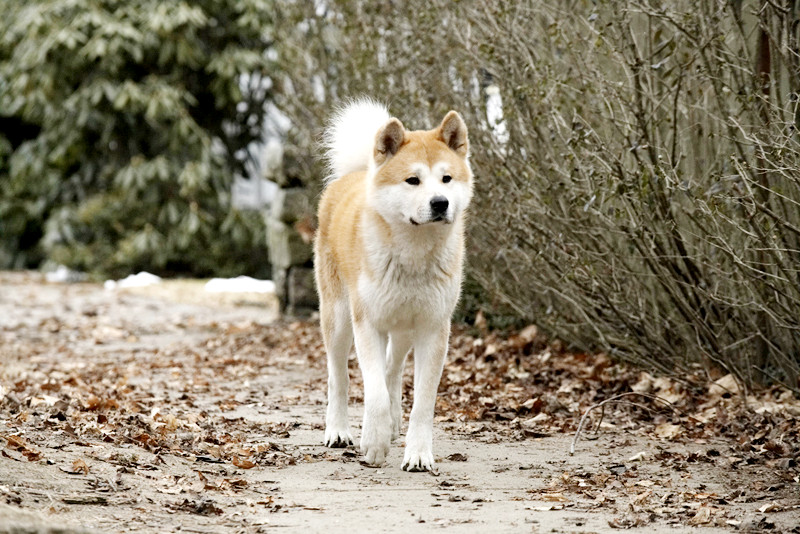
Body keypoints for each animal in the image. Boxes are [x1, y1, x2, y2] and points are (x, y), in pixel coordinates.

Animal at [314, 98, 476, 472]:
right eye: (412, 180)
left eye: (446, 178)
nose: (440, 203)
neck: (414, 254)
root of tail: (356, 174)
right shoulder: (367, 323)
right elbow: (373, 393)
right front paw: (373, 443)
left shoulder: (433, 329)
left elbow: (422, 403)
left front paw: (417, 453)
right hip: (339, 319)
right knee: (338, 377)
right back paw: (339, 430)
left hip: (403, 328)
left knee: (392, 369)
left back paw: (392, 422)